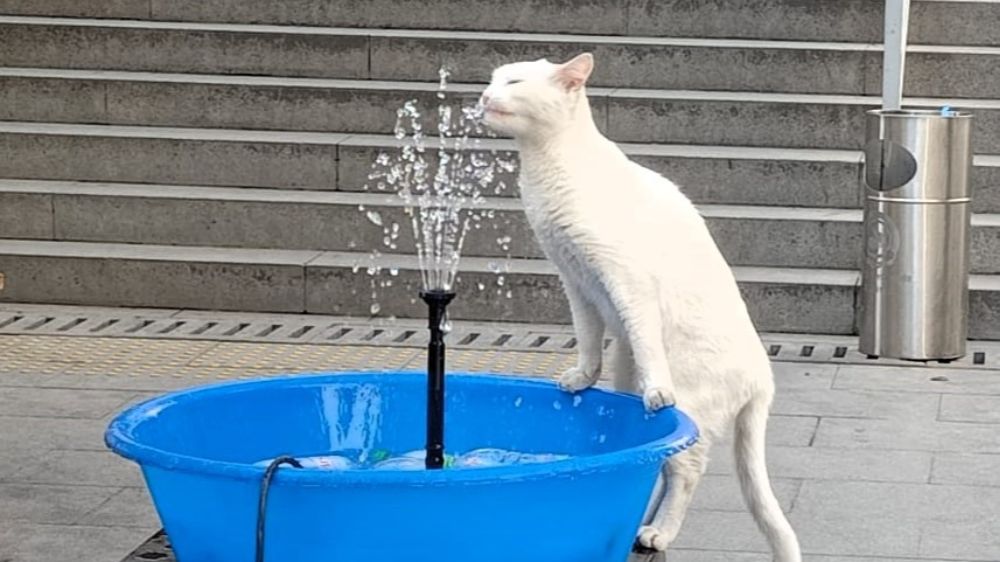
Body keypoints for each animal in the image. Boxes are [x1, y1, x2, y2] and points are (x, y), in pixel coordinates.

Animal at [480, 53, 800, 560]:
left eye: (512, 82)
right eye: (492, 80)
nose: (484, 96)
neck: (546, 170)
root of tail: (763, 378)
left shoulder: (624, 281)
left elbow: (647, 342)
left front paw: (657, 390)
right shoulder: (576, 281)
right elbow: (587, 338)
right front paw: (581, 377)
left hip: (689, 402)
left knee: (685, 469)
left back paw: (657, 533)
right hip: (626, 368)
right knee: (658, 463)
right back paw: (641, 526)